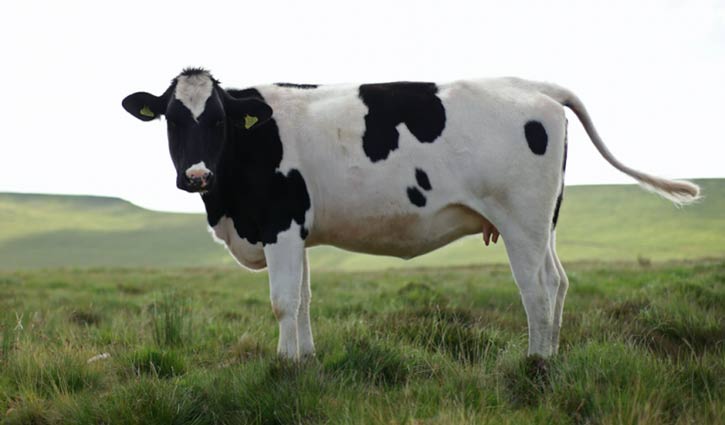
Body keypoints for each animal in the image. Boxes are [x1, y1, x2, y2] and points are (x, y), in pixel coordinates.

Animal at [122, 68, 699, 360]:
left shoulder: (280, 225)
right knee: (557, 283)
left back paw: (536, 363)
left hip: (521, 220)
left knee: (535, 290)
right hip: (543, 223)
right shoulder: (298, 231)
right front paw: (306, 362)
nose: (196, 175)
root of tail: (531, 85)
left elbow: (284, 303)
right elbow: (304, 301)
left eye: (218, 119)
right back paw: (551, 356)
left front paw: (284, 366)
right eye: (173, 119)